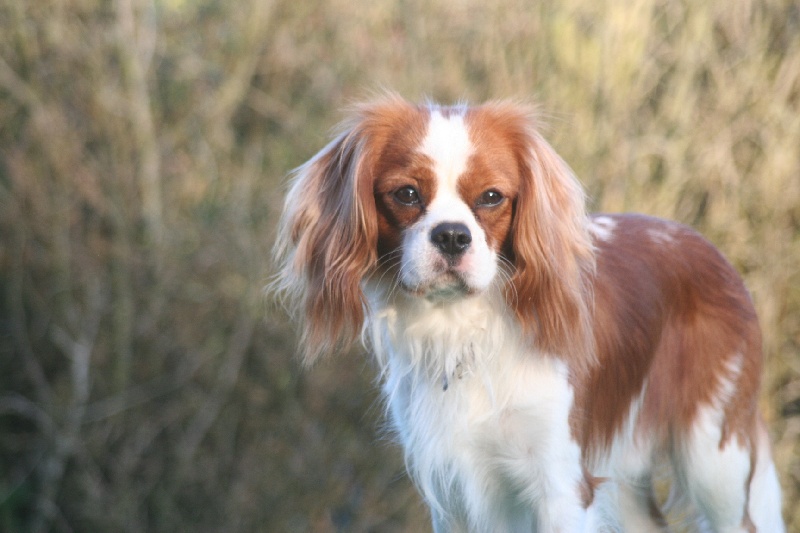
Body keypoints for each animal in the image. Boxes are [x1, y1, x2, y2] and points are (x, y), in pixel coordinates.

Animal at [274, 93, 780, 528]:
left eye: (492, 197)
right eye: (407, 195)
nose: (452, 235)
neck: (465, 330)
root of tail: (710, 249)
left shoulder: (561, 487)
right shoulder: (453, 493)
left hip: (715, 458)